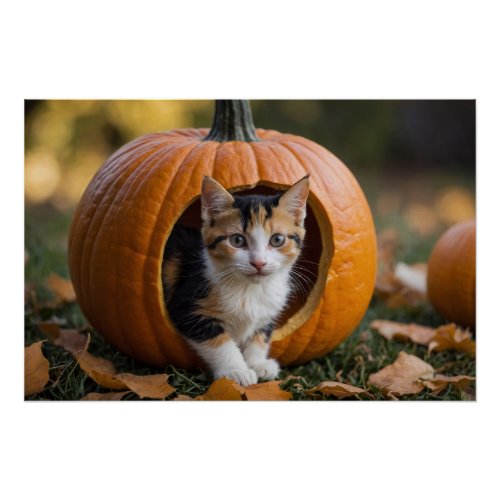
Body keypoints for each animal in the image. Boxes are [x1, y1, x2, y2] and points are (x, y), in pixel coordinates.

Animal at [162, 176, 308, 386]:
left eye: (277, 239)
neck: (250, 289)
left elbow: (260, 333)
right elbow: (219, 342)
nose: (259, 263)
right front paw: (237, 371)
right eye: (237, 240)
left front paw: (257, 363)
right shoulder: (188, 305)